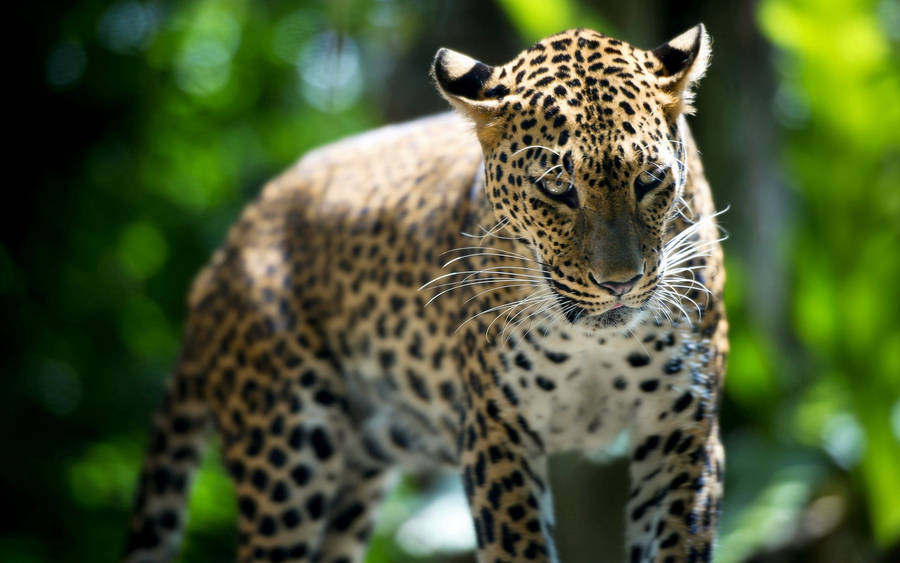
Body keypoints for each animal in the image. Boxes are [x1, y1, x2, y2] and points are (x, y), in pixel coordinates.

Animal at [124, 24, 727, 563]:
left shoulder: (684, 427)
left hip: (354, 479)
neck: (595, 342)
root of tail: (217, 265)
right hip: (286, 455)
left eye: (650, 180)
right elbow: (518, 546)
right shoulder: (495, 428)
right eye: (557, 188)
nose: (619, 282)